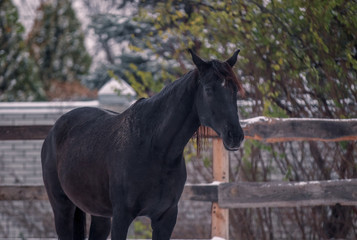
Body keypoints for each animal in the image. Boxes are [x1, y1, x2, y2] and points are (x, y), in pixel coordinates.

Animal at [40, 49, 243, 239]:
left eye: (235, 90)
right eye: (208, 89)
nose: (236, 136)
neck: (154, 150)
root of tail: (54, 130)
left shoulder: (166, 217)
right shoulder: (122, 217)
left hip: (99, 215)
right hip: (62, 208)